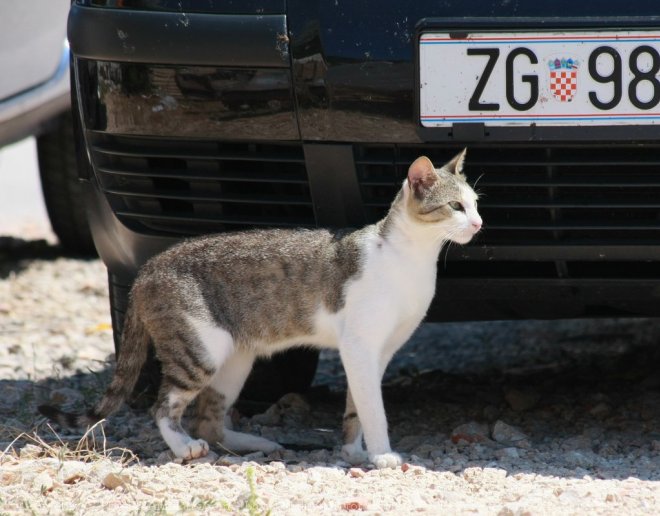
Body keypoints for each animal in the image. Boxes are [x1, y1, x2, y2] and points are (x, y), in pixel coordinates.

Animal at [41, 148, 482, 468]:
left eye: (476, 204)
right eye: (455, 207)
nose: (479, 223)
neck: (410, 257)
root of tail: (149, 268)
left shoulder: (380, 352)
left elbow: (357, 406)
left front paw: (354, 452)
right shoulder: (359, 345)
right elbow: (374, 408)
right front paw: (382, 454)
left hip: (235, 360)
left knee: (210, 419)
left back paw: (253, 442)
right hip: (200, 351)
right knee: (163, 407)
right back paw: (184, 447)